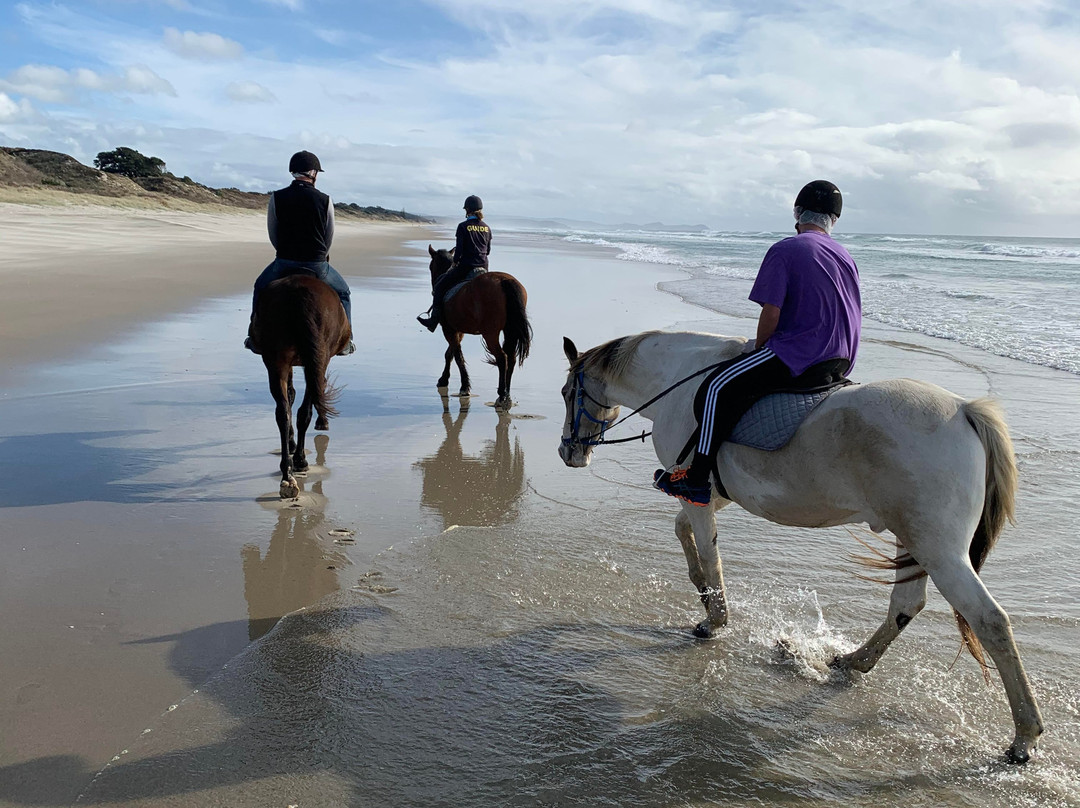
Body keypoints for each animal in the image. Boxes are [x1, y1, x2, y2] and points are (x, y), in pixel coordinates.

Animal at [250, 274, 349, 499]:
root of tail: (298, 292)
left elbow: (291, 395)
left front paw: (291, 442)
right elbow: (315, 393)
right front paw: (322, 422)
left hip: (276, 360)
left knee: (283, 412)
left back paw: (287, 476)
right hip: (318, 357)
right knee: (304, 410)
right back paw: (300, 461)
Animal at [426, 245, 532, 409]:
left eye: (431, 266)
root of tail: (505, 281)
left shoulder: (448, 329)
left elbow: (457, 356)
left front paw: (464, 387)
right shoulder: (458, 330)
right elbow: (450, 353)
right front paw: (444, 379)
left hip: (490, 333)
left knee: (502, 358)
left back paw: (502, 396)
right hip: (510, 330)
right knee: (511, 358)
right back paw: (507, 395)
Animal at [558, 330, 1043, 764]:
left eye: (566, 393)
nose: (568, 453)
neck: (679, 379)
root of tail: (963, 410)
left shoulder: (697, 491)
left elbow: (708, 552)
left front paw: (714, 618)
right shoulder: (711, 494)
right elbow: (686, 534)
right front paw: (701, 591)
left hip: (939, 551)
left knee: (990, 621)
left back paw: (1024, 737)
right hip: (916, 542)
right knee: (906, 605)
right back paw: (852, 661)